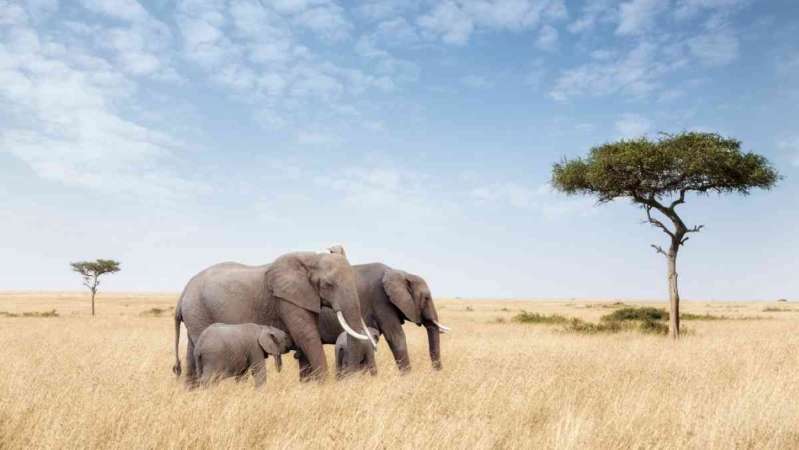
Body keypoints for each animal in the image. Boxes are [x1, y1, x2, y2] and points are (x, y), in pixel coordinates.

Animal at [173, 251, 376, 385]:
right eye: (328, 284)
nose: (348, 379)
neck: (312, 257)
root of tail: (183, 293)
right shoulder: (286, 299)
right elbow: (307, 336)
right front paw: (324, 386)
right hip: (199, 311)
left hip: (195, 314)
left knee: (192, 353)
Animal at [315, 263, 449, 374]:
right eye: (426, 298)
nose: (436, 373)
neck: (400, 273)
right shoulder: (381, 302)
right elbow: (396, 337)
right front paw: (408, 376)